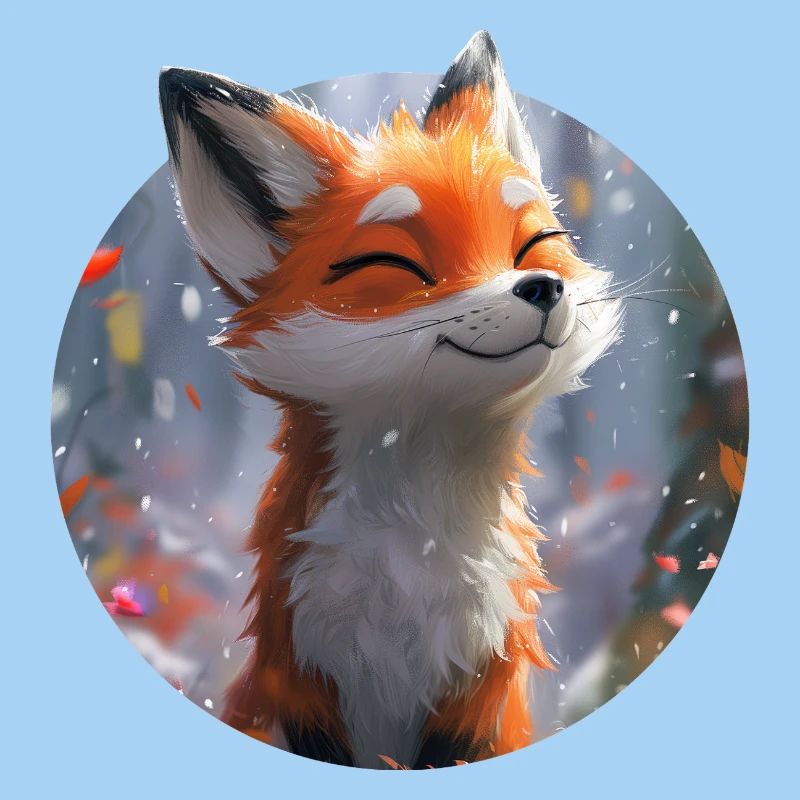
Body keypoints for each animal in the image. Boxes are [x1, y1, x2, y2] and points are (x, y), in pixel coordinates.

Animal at [159, 30, 620, 768]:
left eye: (533, 246)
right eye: (398, 266)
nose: (543, 287)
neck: (415, 554)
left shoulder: (480, 688)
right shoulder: (301, 676)